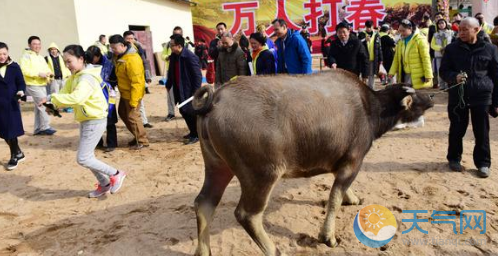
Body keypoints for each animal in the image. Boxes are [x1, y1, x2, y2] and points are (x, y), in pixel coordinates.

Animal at [191, 70, 432, 256]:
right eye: (416, 96)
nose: (430, 96)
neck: (369, 108)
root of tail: (216, 99)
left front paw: (353, 198)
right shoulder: (353, 161)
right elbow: (334, 198)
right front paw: (328, 236)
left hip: (217, 166)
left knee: (204, 203)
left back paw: (203, 251)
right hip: (261, 175)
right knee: (247, 215)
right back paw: (273, 250)